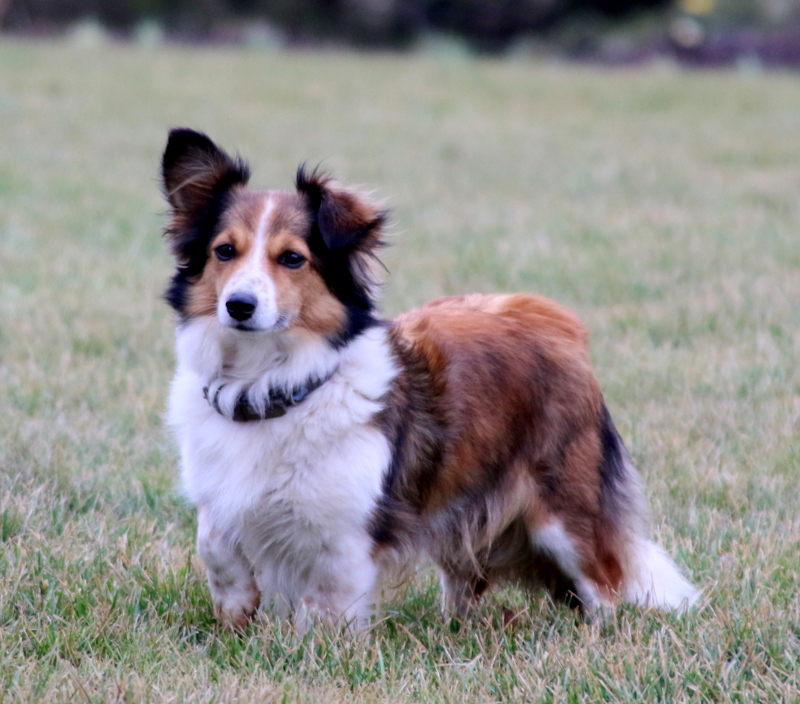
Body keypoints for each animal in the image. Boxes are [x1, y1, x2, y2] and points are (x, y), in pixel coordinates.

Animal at [159, 128, 696, 632]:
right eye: (225, 251)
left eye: (292, 258)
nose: (239, 306)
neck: (270, 385)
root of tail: (555, 321)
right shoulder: (222, 491)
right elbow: (211, 539)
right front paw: (235, 605)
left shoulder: (348, 529)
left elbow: (328, 599)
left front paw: (319, 645)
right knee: (466, 577)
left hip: (564, 514)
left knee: (606, 583)